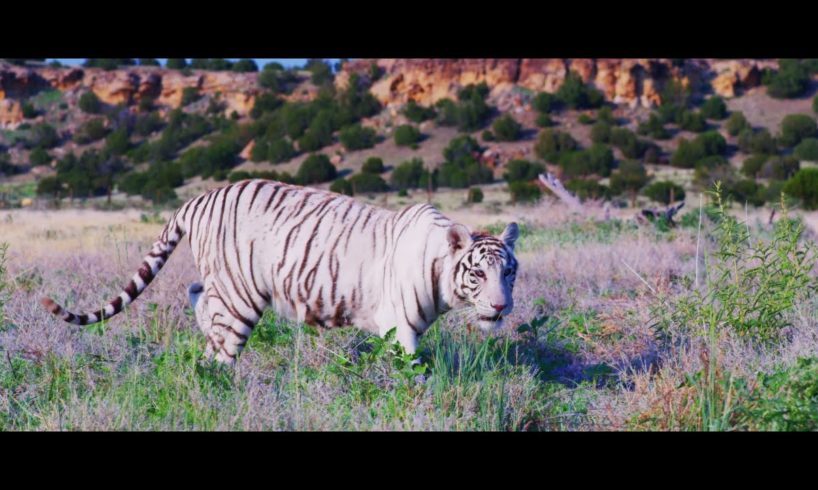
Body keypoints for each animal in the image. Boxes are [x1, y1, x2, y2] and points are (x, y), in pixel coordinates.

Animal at [41, 179, 520, 365]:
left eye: (509, 273)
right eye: (478, 274)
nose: (500, 308)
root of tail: (197, 198)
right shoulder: (399, 325)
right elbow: (411, 370)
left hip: (223, 283)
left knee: (198, 296)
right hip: (241, 294)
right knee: (219, 350)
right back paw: (217, 372)